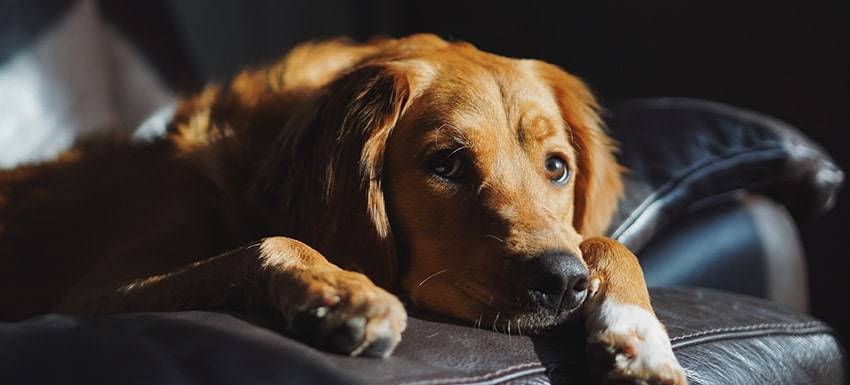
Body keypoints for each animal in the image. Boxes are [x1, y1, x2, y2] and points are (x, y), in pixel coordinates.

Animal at [0, 34, 684, 382]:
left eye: (557, 167)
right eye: (446, 165)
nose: (563, 283)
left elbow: (605, 243)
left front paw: (641, 338)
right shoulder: (96, 295)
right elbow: (271, 241)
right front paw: (343, 292)